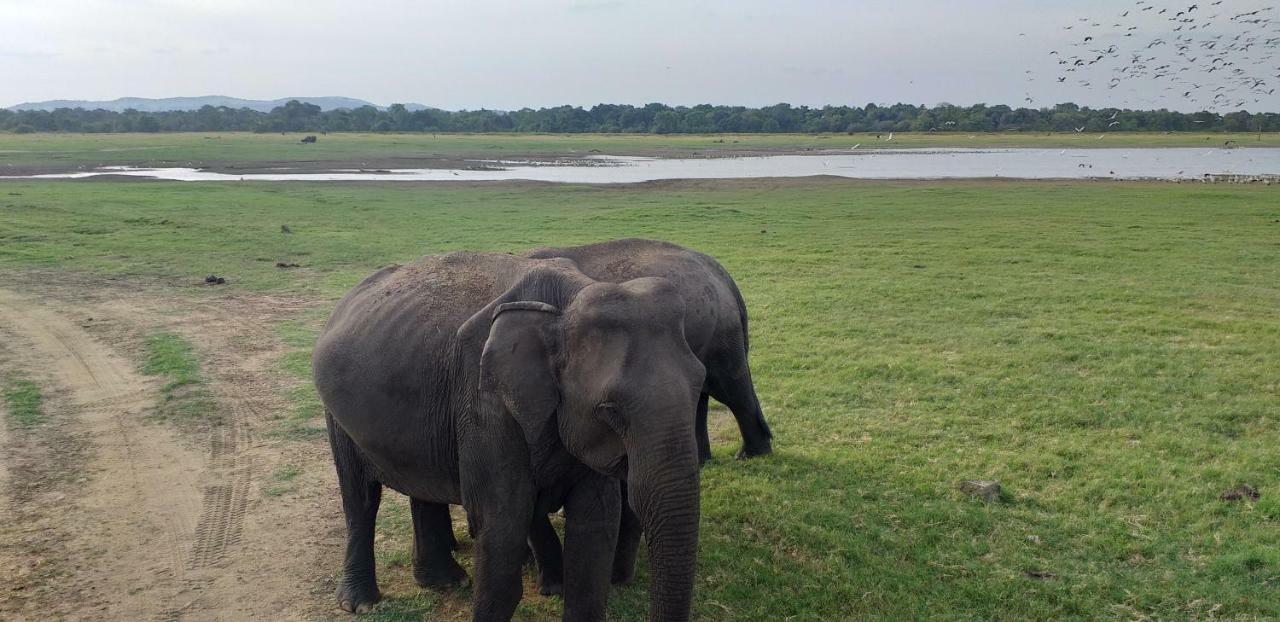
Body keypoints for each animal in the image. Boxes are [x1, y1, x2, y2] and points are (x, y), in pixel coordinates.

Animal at [313, 250, 706, 619]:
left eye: (700, 384)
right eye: (610, 410)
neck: (567, 300)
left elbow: (595, 531)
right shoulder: (482, 401)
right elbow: (502, 524)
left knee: (420, 484)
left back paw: (444, 581)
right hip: (337, 415)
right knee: (360, 496)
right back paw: (361, 603)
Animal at [517, 238, 768, 593]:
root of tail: (717, 269)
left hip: (720, 332)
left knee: (729, 386)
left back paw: (750, 455)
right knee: (703, 394)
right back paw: (705, 459)